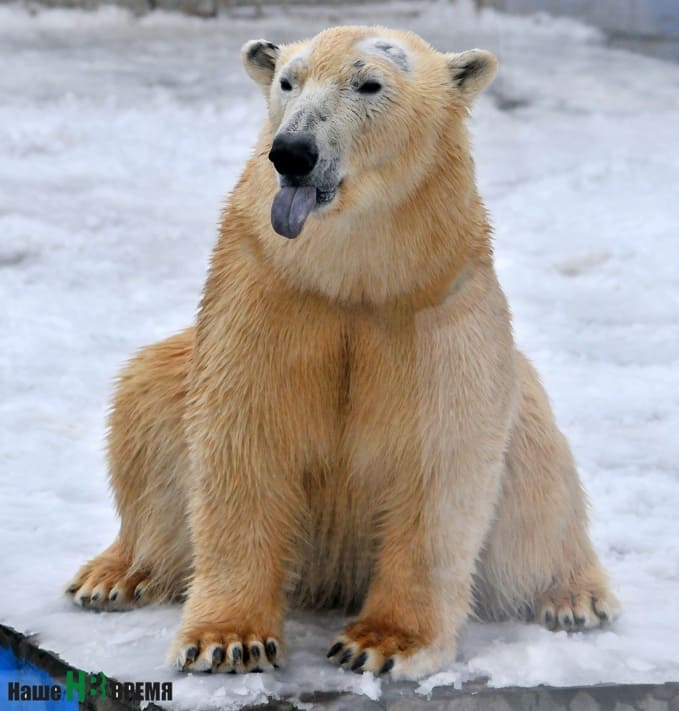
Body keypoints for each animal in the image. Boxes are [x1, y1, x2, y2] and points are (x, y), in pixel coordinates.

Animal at [66, 23, 620, 680]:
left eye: (369, 83)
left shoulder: (430, 307)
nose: (292, 152)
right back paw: (113, 575)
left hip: (520, 400)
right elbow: (244, 441)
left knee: (540, 481)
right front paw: (228, 641)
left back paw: (574, 597)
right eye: (288, 80)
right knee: (145, 403)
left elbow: (439, 459)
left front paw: (382, 643)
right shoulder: (273, 293)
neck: (353, 278)